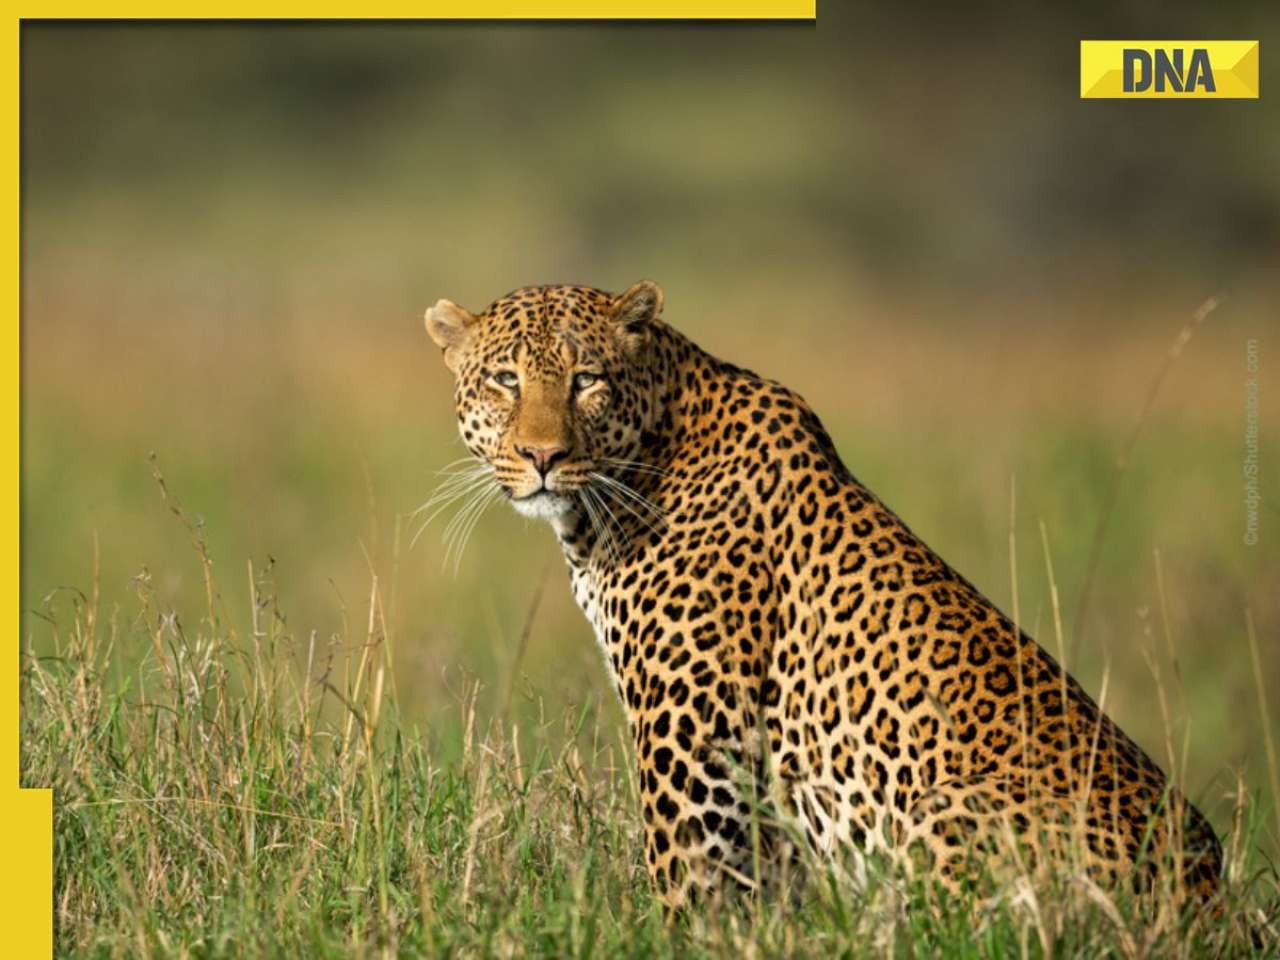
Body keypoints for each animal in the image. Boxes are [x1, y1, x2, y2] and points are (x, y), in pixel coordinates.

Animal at [421, 280, 1222, 910]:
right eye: (504, 379)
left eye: (587, 379)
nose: (543, 456)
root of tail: (1208, 900)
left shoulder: (694, 738)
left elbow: (687, 882)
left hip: (945, 811)